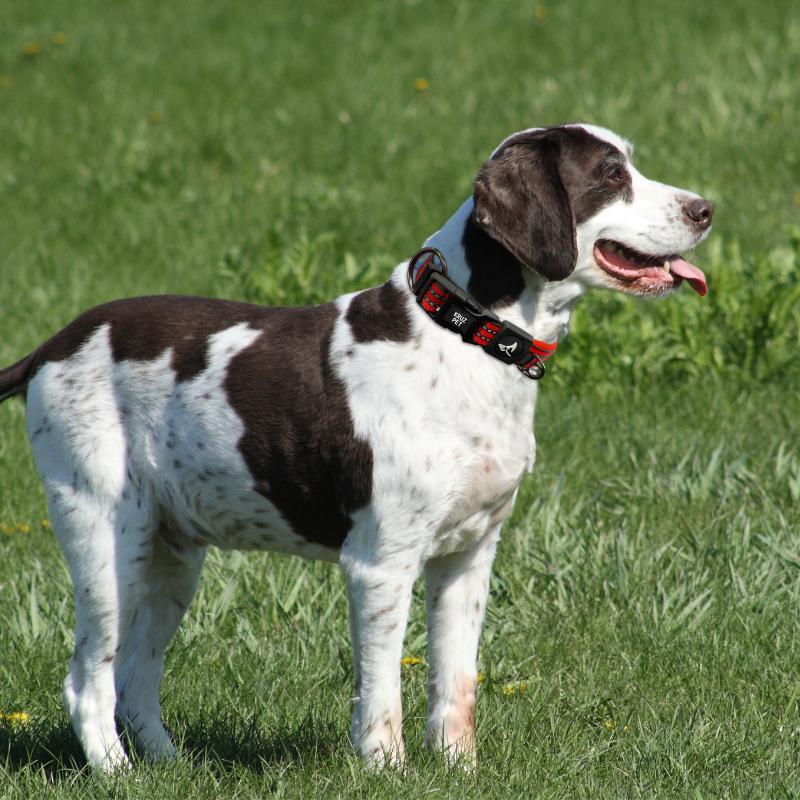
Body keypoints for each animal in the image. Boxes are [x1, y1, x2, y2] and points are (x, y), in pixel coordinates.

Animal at [0, 123, 712, 768]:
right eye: (610, 175)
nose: (706, 209)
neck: (467, 336)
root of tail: (53, 345)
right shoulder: (381, 563)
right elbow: (382, 690)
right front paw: (385, 768)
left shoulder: (469, 557)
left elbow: (455, 684)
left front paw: (458, 768)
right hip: (106, 538)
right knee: (88, 679)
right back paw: (114, 770)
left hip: (172, 556)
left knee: (134, 681)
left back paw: (169, 765)